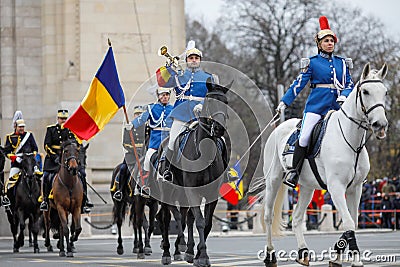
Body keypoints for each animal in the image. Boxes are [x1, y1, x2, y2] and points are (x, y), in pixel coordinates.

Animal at [158, 82, 230, 266]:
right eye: (209, 101)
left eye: (226, 102)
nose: (219, 128)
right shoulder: (192, 190)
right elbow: (200, 221)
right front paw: (202, 256)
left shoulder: (211, 193)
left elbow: (207, 223)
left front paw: (198, 254)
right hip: (167, 190)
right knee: (165, 219)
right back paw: (167, 252)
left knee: (185, 217)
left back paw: (188, 249)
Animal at [256, 63, 388, 267]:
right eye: (365, 91)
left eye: (385, 92)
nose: (380, 125)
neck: (350, 139)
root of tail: (278, 128)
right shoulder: (336, 187)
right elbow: (349, 223)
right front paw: (354, 259)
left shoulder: (356, 188)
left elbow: (353, 222)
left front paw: (337, 255)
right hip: (274, 180)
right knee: (268, 215)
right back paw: (270, 256)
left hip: (307, 187)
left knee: (297, 217)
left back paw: (303, 252)